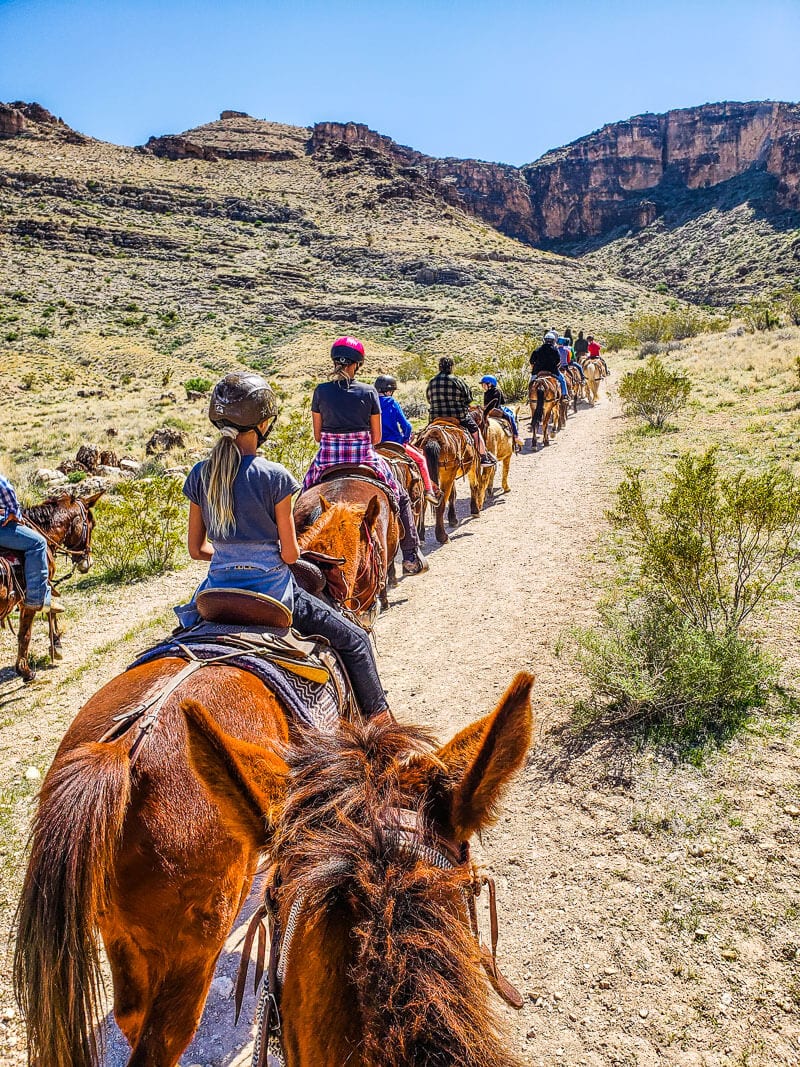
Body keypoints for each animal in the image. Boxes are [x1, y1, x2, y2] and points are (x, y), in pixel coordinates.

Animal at [0, 488, 100, 678]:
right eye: (92, 524)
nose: (88, 562)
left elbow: (48, 612)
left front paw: (55, 645)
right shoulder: (32, 593)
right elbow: (26, 632)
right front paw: (25, 670)